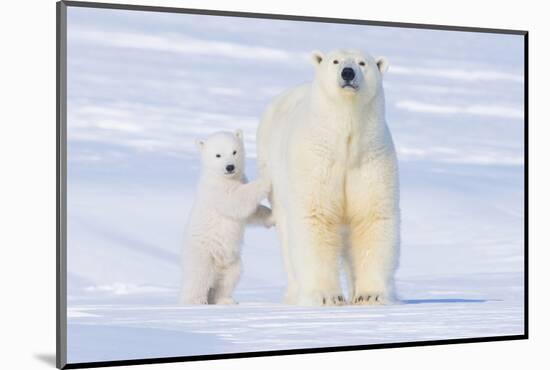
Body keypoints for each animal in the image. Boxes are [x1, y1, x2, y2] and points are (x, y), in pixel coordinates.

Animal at [181, 132, 274, 304]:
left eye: (234, 151)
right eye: (218, 155)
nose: (230, 167)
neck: (222, 177)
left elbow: (249, 214)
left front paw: (272, 217)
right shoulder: (217, 190)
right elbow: (236, 200)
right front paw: (266, 178)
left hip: (231, 261)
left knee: (230, 277)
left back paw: (225, 300)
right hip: (202, 253)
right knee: (199, 277)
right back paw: (195, 301)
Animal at [258, 49, 402, 306]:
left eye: (362, 63)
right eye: (335, 61)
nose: (348, 73)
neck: (345, 143)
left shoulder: (370, 159)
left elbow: (371, 217)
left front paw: (370, 295)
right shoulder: (316, 160)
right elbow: (316, 216)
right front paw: (327, 296)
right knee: (287, 239)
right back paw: (294, 294)